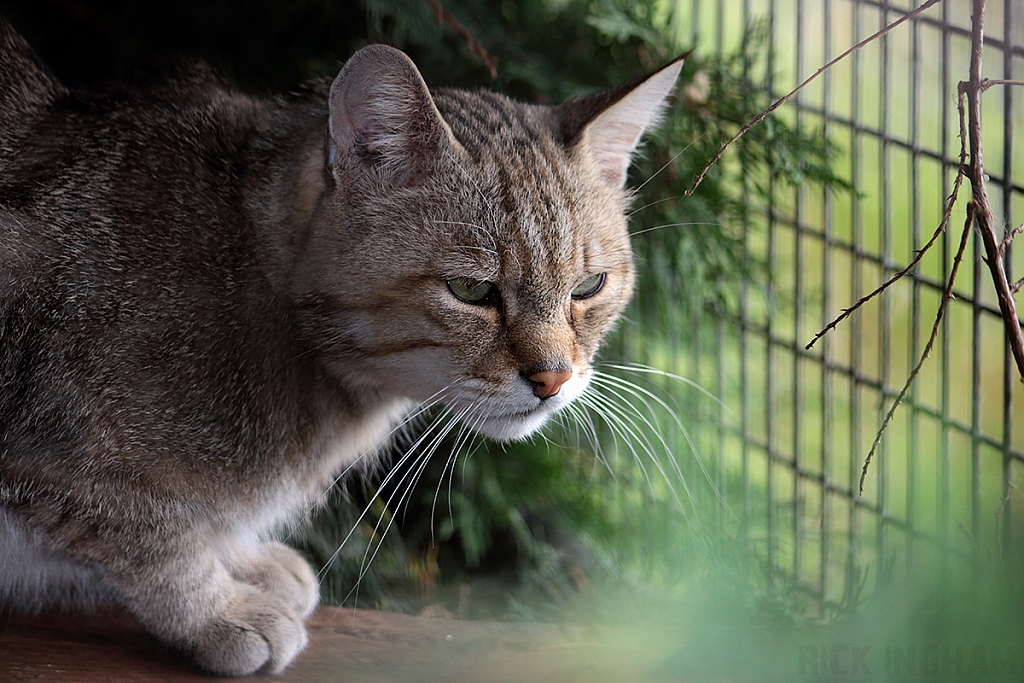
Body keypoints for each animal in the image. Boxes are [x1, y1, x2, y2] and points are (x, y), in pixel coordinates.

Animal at [2, 15, 688, 679]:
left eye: (589, 286)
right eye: (472, 290)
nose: (554, 378)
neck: (252, 285)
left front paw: (241, 561)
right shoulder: (54, 442)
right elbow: (143, 529)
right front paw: (214, 608)